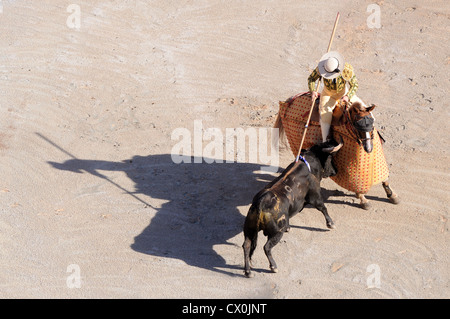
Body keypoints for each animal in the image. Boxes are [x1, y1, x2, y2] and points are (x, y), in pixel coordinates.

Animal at [272, 93, 400, 210]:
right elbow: (357, 184)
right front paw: (363, 200)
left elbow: (385, 179)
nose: (368, 148)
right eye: (357, 125)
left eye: (372, 122)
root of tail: (289, 100)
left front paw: (392, 196)